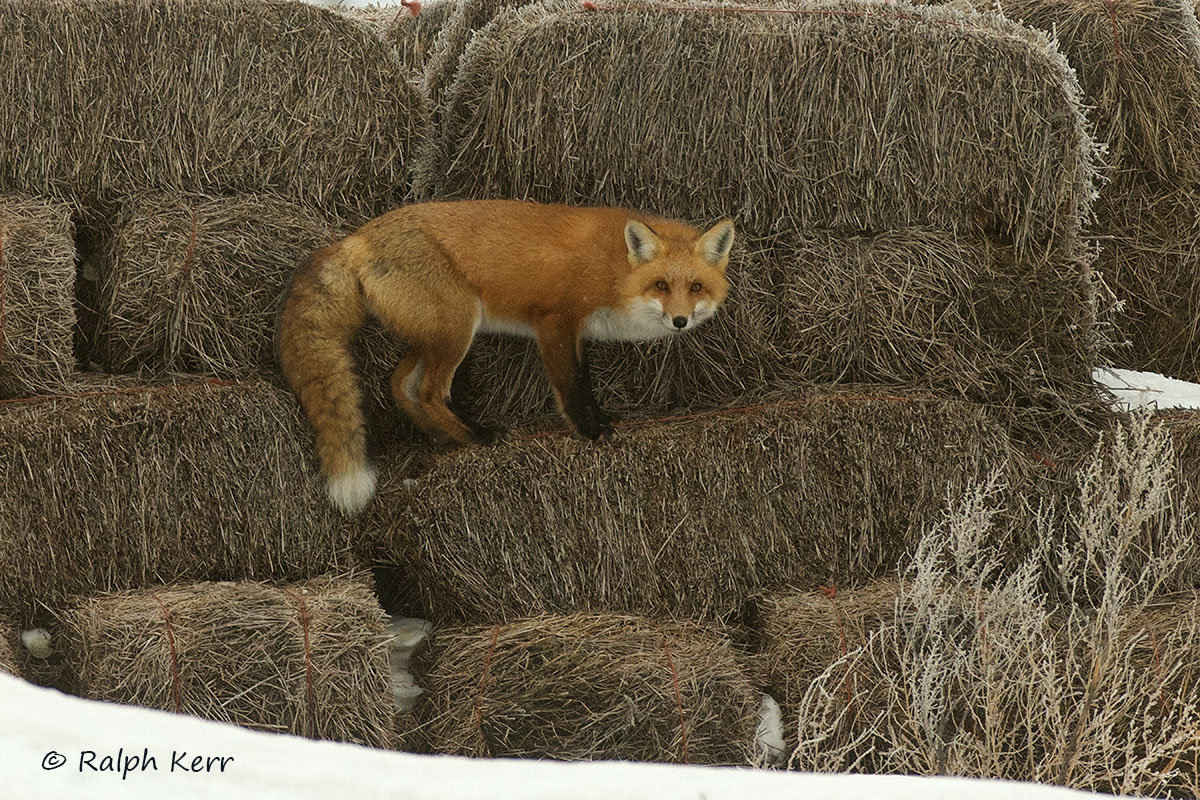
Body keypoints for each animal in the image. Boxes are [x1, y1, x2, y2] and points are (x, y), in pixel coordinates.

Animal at [278, 199, 735, 515]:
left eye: (696, 287)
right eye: (661, 284)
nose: (679, 321)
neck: (614, 270)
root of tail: (357, 237)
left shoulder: (577, 333)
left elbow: (584, 381)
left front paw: (599, 421)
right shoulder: (555, 321)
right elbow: (572, 385)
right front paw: (590, 430)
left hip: (435, 334)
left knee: (399, 383)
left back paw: (443, 436)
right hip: (458, 327)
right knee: (428, 391)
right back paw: (477, 436)